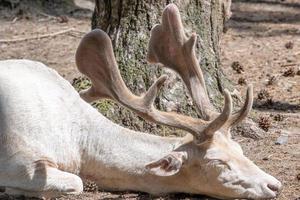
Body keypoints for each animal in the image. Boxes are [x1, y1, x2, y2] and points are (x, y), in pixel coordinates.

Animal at [0, 3, 282, 200]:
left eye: (240, 150)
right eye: (218, 162)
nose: (274, 184)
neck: (77, 148)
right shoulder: (19, 161)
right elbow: (76, 182)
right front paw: (13, 190)